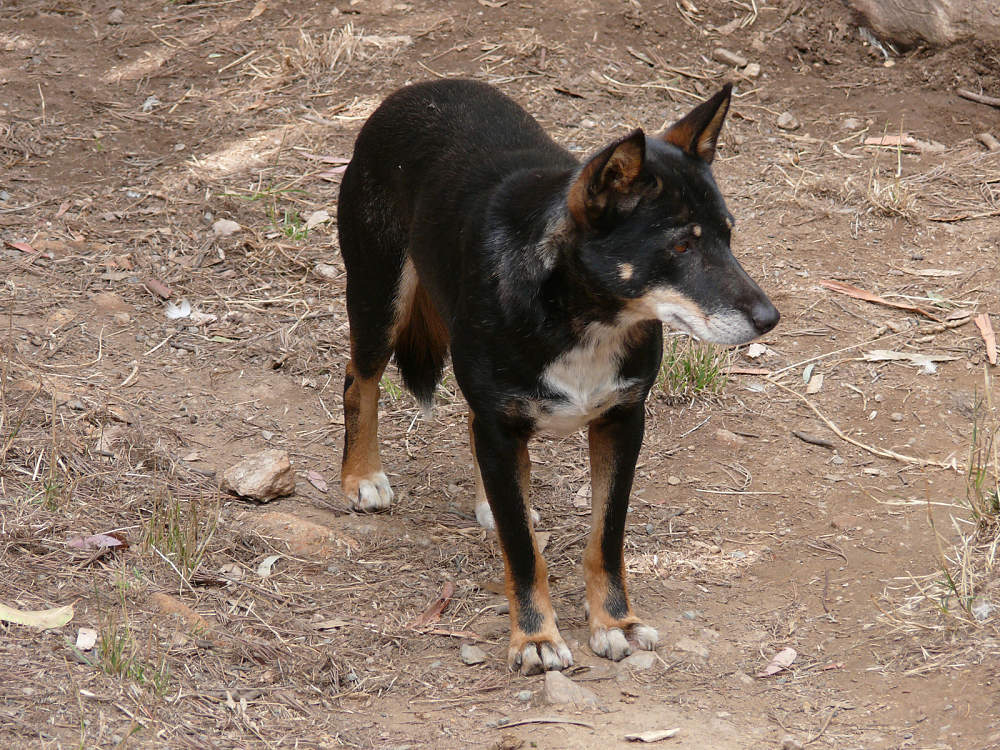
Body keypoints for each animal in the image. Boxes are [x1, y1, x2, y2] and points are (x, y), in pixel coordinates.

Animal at [336, 79, 780, 680]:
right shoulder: (504, 428)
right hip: (380, 299)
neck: (581, 316)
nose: (770, 318)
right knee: (359, 381)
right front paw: (534, 637)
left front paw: (615, 622)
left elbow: (606, 539)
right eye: (681, 247)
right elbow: (524, 553)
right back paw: (361, 475)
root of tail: (416, 90)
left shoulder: (622, 421)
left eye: (728, 237)